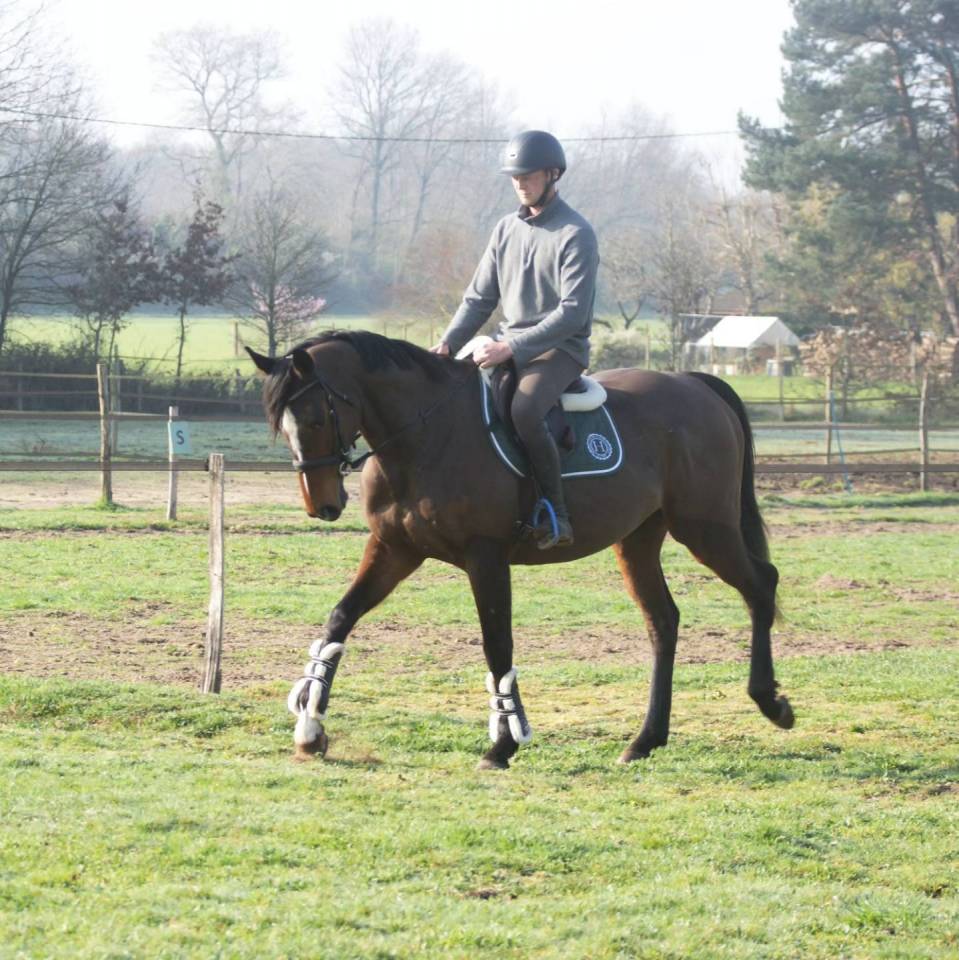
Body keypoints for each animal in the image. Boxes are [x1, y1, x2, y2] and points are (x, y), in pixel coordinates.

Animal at [247, 330, 793, 770]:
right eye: (280, 423)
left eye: (315, 417)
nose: (321, 504)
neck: (426, 436)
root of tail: (693, 384)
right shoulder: (393, 550)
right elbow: (339, 621)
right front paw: (310, 727)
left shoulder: (484, 557)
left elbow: (497, 645)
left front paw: (503, 744)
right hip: (639, 540)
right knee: (664, 620)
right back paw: (645, 740)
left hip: (705, 528)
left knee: (760, 585)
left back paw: (770, 702)